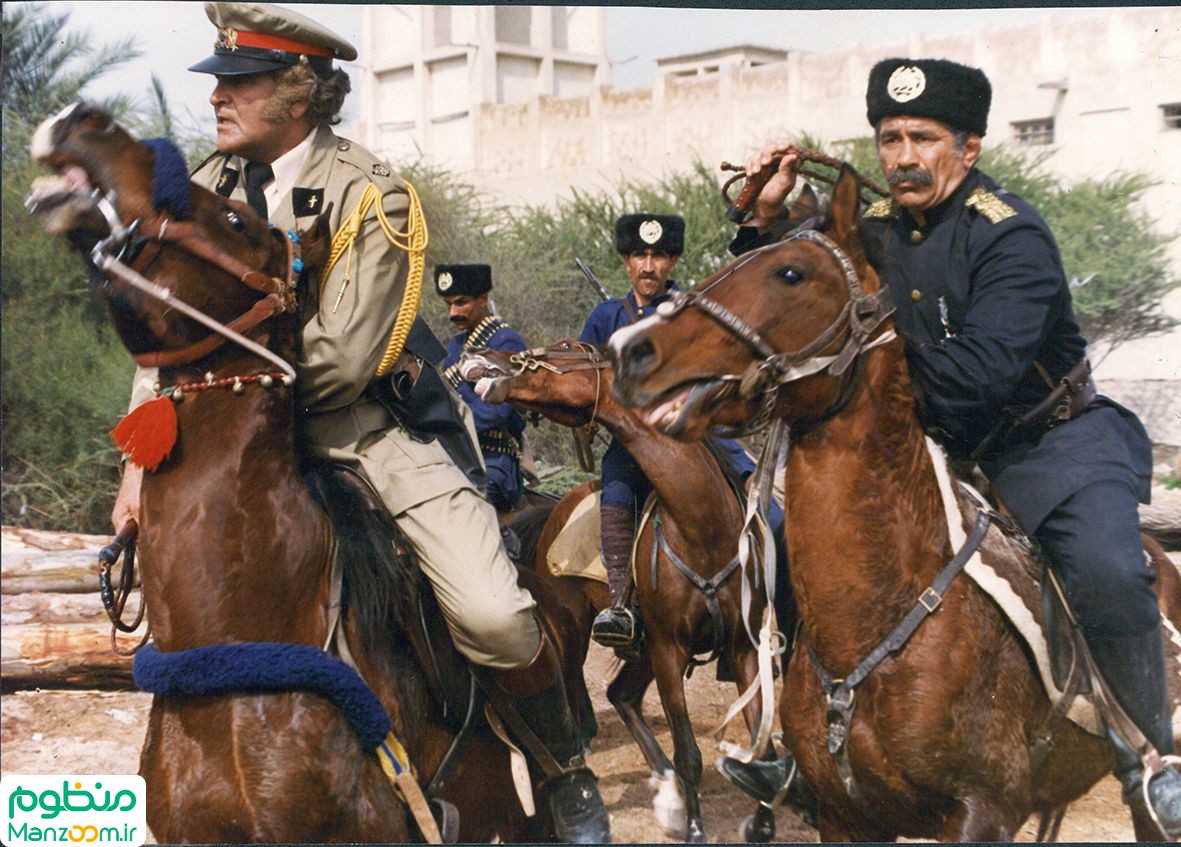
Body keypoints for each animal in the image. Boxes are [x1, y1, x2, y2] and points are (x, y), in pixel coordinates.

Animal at [460, 337, 793, 841]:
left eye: (563, 347)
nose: (480, 358)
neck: (702, 527)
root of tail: (556, 510)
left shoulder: (742, 650)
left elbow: (761, 747)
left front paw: (761, 824)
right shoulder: (670, 650)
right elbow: (689, 753)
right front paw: (696, 827)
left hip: (644, 652)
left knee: (622, 695)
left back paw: (666, 792)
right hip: (587, 637)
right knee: (582, 694)